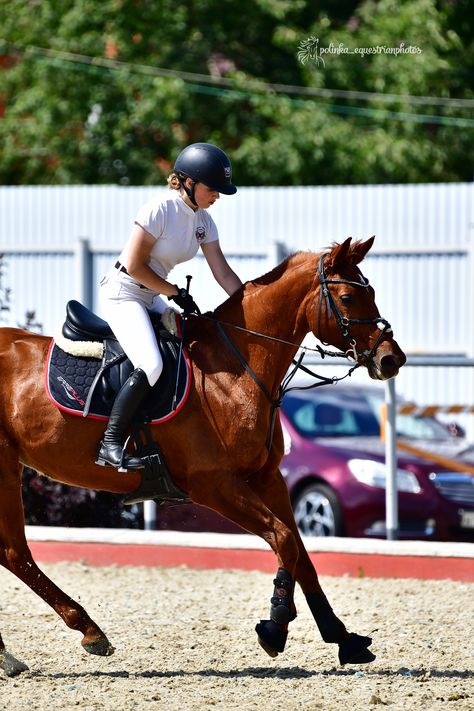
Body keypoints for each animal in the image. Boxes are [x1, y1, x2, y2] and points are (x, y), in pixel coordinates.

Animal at [0, 236, 406, 676]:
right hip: (5, 467)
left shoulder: (266, 478)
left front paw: (342, 637)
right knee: (14, 552)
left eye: (370, 293)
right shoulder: (214, 484)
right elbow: (283, 538)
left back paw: (34, 648)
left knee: (13, 553)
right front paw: (275, 625)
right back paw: (78, 633)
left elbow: (299, 552)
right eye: (348, 297)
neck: (235, 369)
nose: (391, 359)